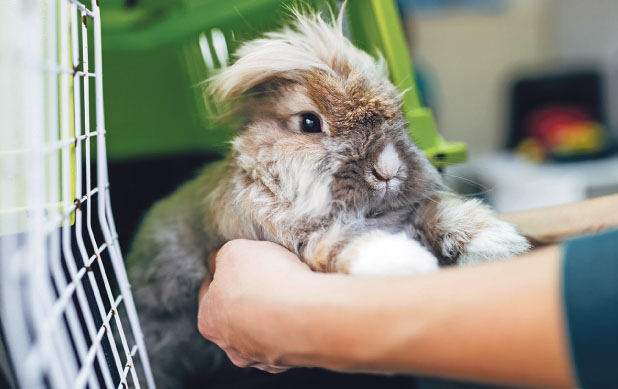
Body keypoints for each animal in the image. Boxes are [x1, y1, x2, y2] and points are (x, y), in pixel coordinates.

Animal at [124, 7, 524, 386]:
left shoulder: (411, 212)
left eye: (399, 119)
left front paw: (499, 242)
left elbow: (439, 214)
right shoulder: (297, 238)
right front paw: (404, 261)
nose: (387, 169)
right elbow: (340, 243)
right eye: (309, 123)